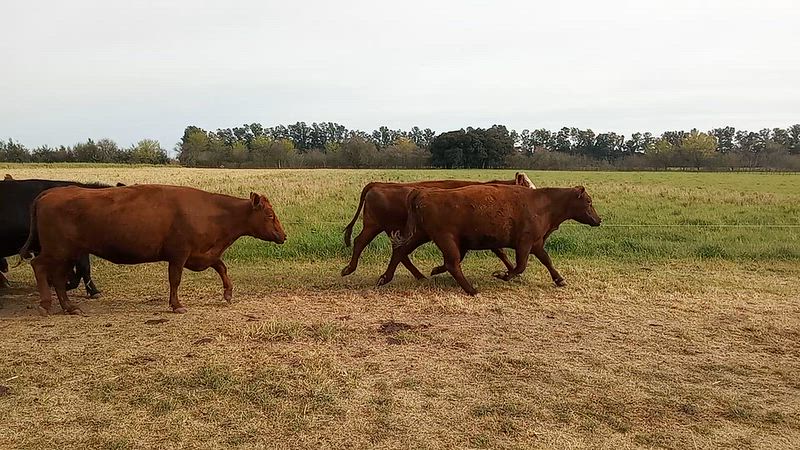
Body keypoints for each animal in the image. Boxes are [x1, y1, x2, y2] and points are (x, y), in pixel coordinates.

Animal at [20, 184, 286, 316]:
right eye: (270, 215)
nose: (283, 236)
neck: (213, 212)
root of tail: (51, 192)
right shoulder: (179, 255)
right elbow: (175, 280)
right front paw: (176, 305)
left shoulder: (201, 255)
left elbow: (221, 267)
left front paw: (228, 293)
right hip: (57, 251)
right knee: (39, 266)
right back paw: (46, 304)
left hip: (68, 254)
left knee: (57, 277)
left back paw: (69, 307)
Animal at [341, 172, 536, 278]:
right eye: (530, 188)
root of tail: (378, 184)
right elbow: (500, 252)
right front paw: (512, 272)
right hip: (377, 227)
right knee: (361, 242)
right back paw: (349, 269)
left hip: (386, 229)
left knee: (398, 252)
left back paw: (419, 276)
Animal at [377, 185, 601, 295]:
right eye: (588, 201)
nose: (598, 220)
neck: (542, 203)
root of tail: (423, 193)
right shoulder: (525, 243)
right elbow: (520, 266)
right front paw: (503, 275)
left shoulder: (536, 243)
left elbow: (547, 260)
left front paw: (559, 279)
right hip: (444, 238)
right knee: (452, 264)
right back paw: (471, 290)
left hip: (421, 234)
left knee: (400, 251)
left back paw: (386, 278)